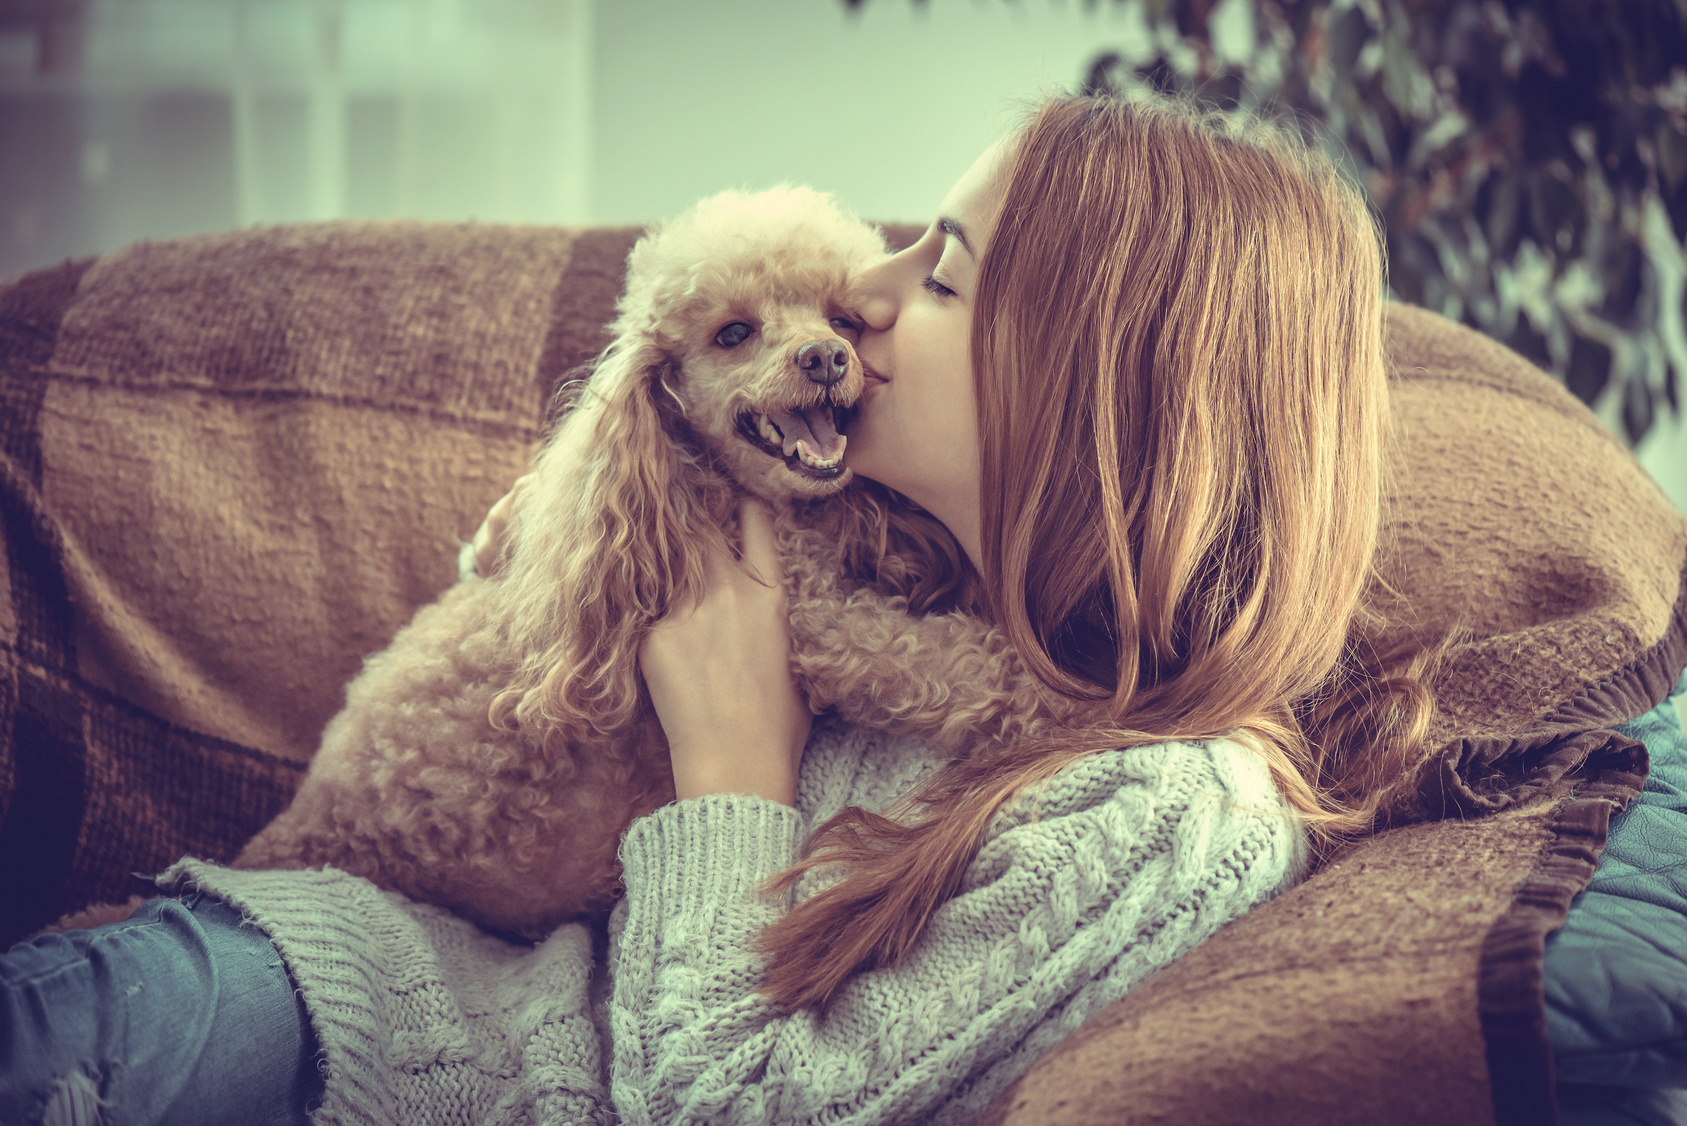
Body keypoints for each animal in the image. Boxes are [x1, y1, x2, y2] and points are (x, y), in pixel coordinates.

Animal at [232, 187, 1059, 945]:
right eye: (733, 333)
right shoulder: (817, 622)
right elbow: (952, 659)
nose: (825, 357)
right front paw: (1056, 694)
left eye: (841, 321)